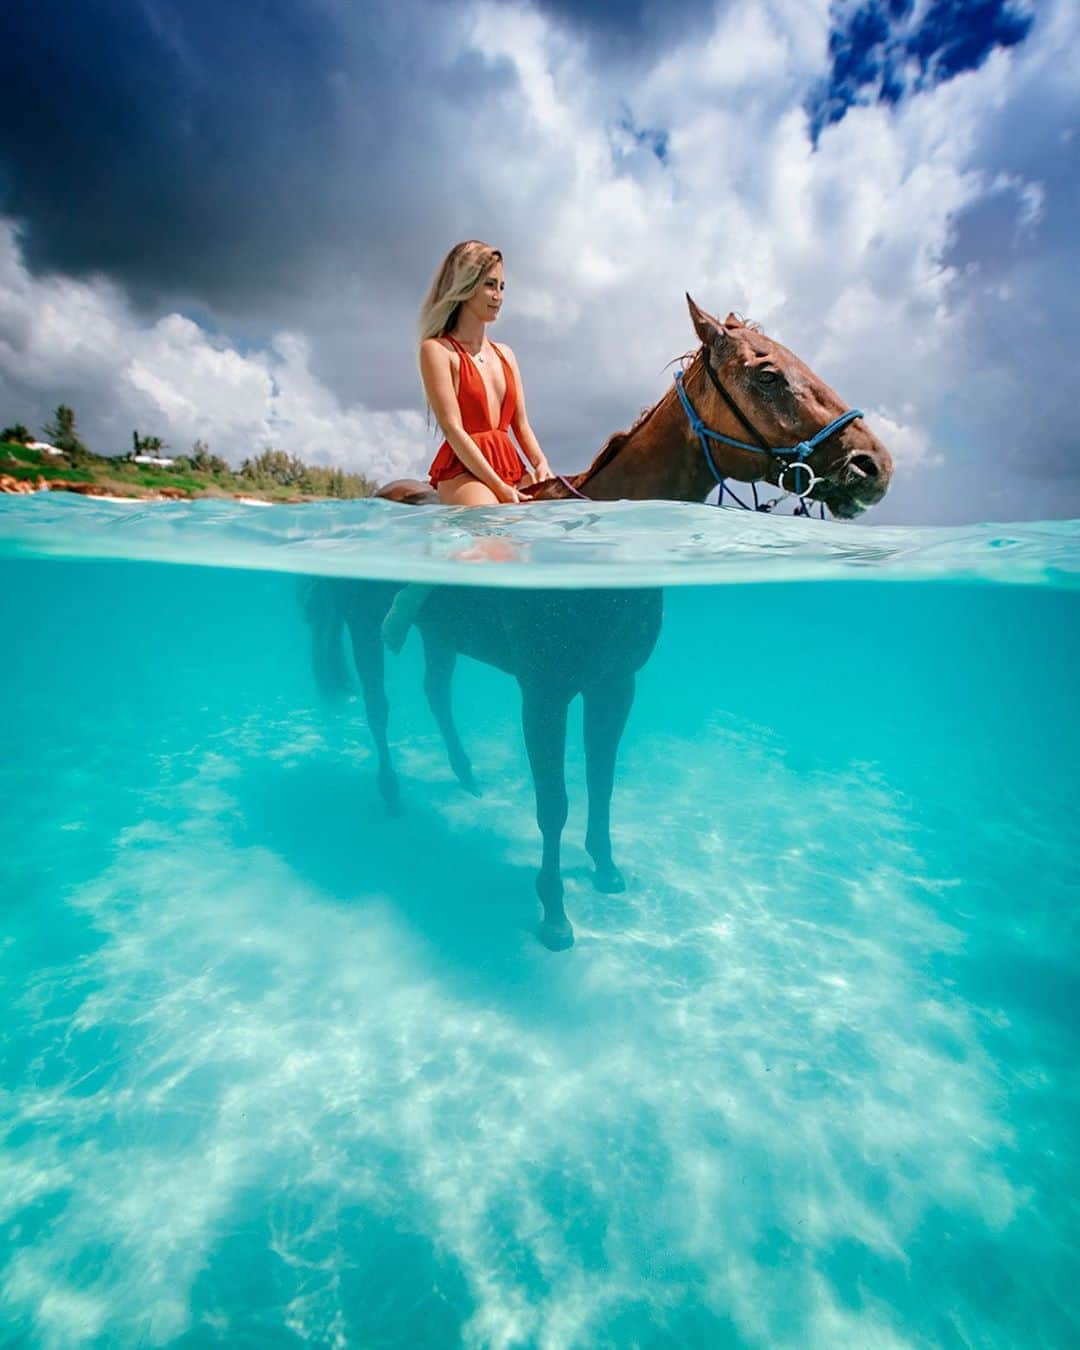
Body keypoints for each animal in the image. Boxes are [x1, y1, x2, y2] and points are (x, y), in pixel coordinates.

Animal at [306, 298, 896, 950]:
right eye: (767, 375)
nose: (874, 465)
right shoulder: (544, 694)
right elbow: (554, 801)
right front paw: (554, 910)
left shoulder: (614, 686)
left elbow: (601, 781)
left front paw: (606, 869)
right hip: (362, 627)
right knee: (379, 709)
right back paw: (391, 794)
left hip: (443, 637)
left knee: (436, 694)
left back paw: (465, 775)